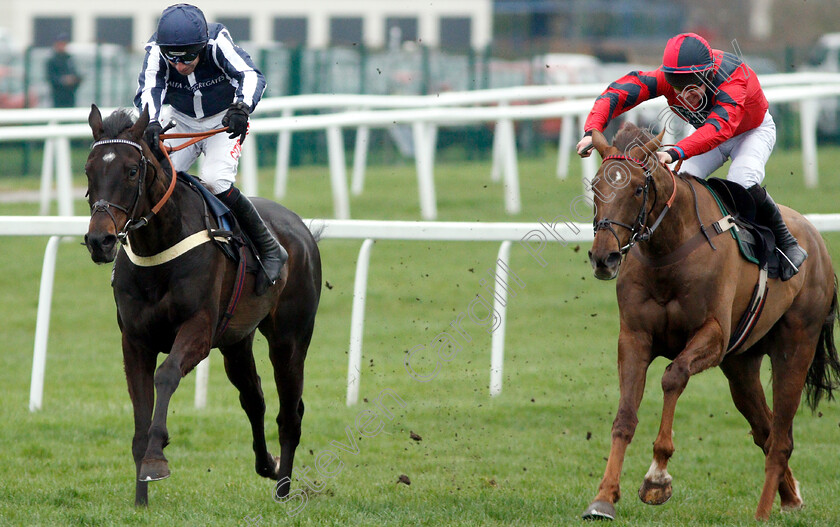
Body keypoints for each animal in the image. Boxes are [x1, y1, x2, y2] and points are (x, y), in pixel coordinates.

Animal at [83, 105, 322, 506]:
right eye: (88, 169)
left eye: (131, 171)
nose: (99, 240)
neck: (159, 248)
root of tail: (301, 229)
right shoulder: (134, 340)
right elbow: (140, 411)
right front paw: (140, 498)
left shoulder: (198, 328)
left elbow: (166, 375)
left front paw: (156, 459)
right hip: (236, 342)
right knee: (253, 398)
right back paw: (268, 465)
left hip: (290, 338)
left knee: (290, 413)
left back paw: (283, 490)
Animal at [584, 124, 840, 524]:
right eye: (595, 186)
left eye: (638, 189)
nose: (603, 257)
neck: (669, 251)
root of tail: (818, 242)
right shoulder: (634, 338)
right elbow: (625, 416)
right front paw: (603, 498)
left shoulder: (713, 336)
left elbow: (673, 376)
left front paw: (657, 477)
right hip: (741, 365)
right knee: (765, 430)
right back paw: (791, 497)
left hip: (795, 348)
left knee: (781, 439)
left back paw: (763, 512)